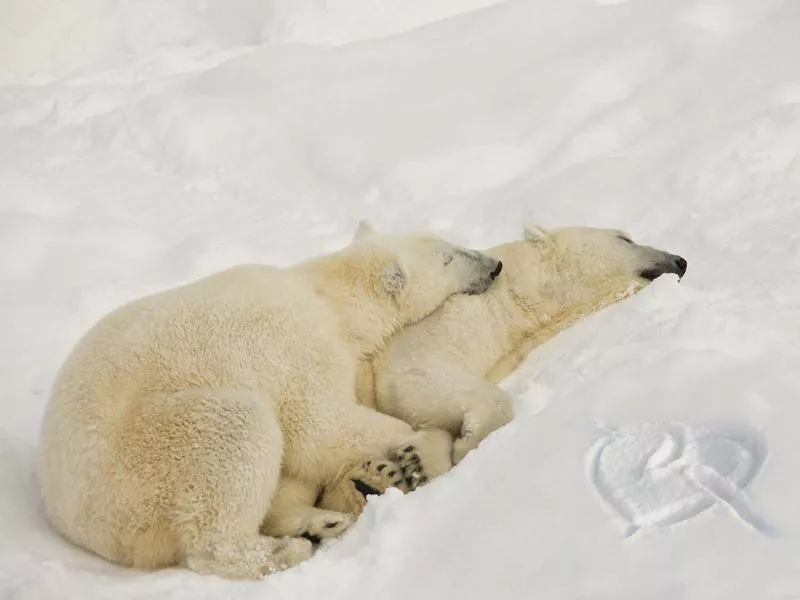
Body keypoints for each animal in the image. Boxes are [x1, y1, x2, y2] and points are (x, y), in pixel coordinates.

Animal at [39, 223, 500, 580]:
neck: (328, 298)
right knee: (236, 441)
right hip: (153, 452)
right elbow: (319, 427)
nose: (494, 266)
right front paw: (422, 453)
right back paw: (285, 550)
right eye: (449, 257)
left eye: (447, 242)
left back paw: (323, 522)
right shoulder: (298, 349)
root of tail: (76, 519)